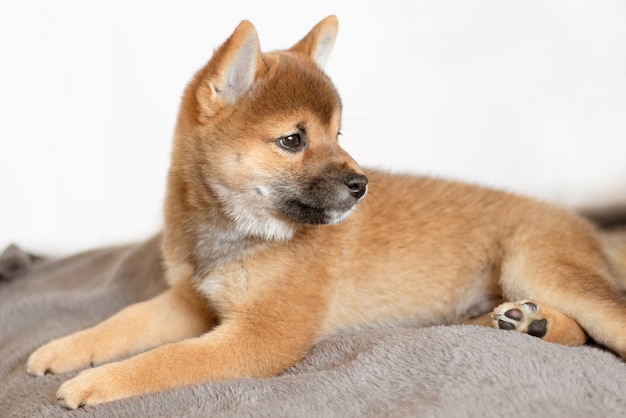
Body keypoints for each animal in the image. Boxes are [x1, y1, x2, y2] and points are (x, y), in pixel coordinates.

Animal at [26, 16, 624, 408]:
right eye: (293, 139)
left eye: (338, 136)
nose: (362, 185)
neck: (236, 234)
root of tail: (586, 228)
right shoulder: (190, 303)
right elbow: (124, 320)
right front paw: (64, 348)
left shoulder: (260, 337)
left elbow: (167, 360)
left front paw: (98, 383)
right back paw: (530, 323)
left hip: (537, 267)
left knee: (606, 321)